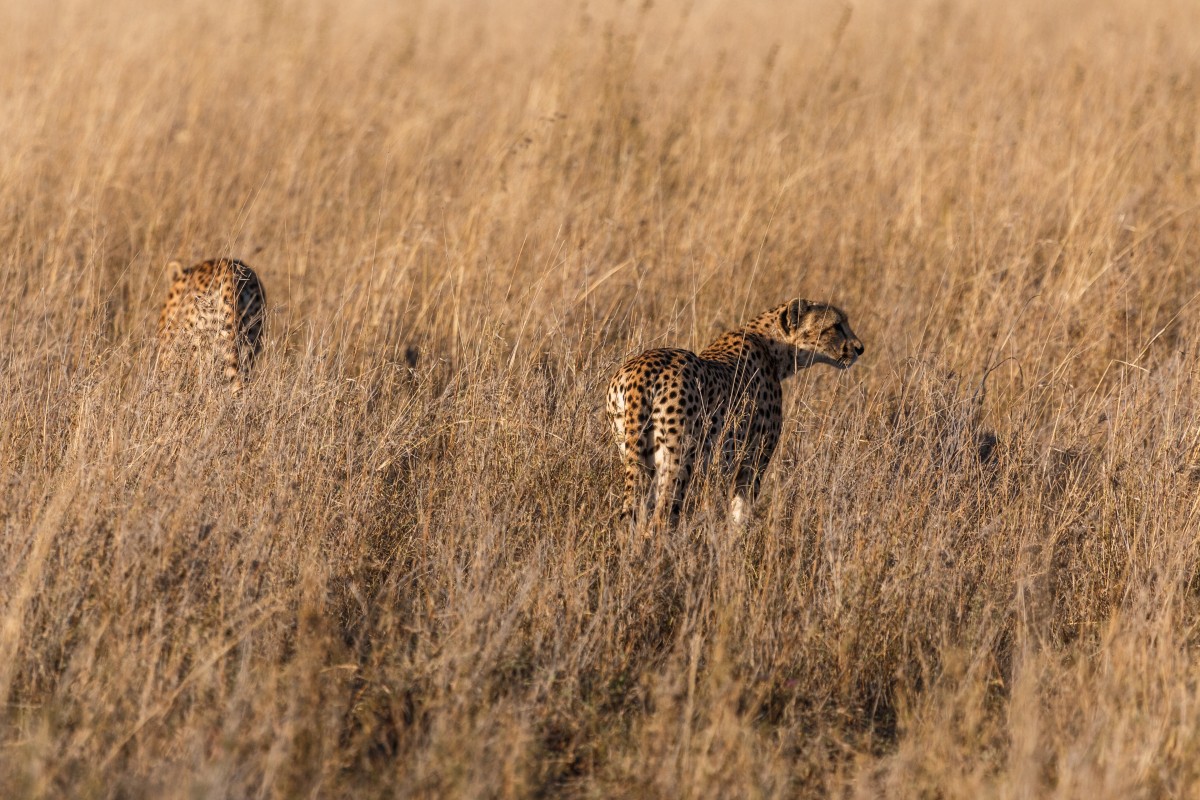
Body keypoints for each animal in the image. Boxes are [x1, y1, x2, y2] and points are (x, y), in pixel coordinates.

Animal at [609, 297, 864, 527]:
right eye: (836, 326)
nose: (860, 349)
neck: (774, 347)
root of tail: (641, 369)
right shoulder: (753, 459)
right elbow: (741, 510)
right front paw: (737, 542)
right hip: (678, 461)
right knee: (661, 519)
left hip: (635, 457)